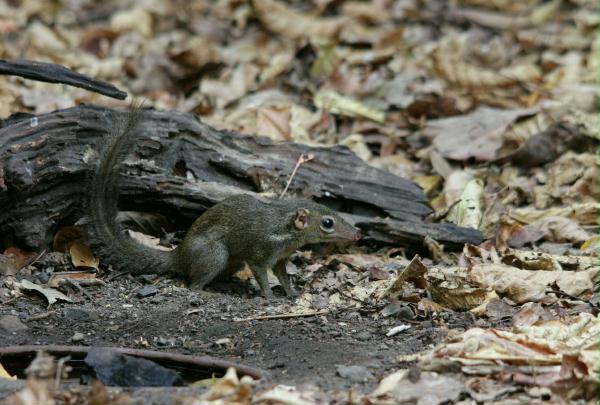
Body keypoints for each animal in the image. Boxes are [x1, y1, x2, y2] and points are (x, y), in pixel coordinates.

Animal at [89, 104, 360, 296]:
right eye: (327, 223)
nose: (357, 235)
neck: (285, 231)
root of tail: (178, 255)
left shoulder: (280, 259)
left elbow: (283, 276)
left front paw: (292, 294)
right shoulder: (260, 254)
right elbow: (262, 275)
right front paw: (269, 297)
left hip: (232, 262)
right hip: (216, 255)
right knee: (193, 285)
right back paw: (211, 293)